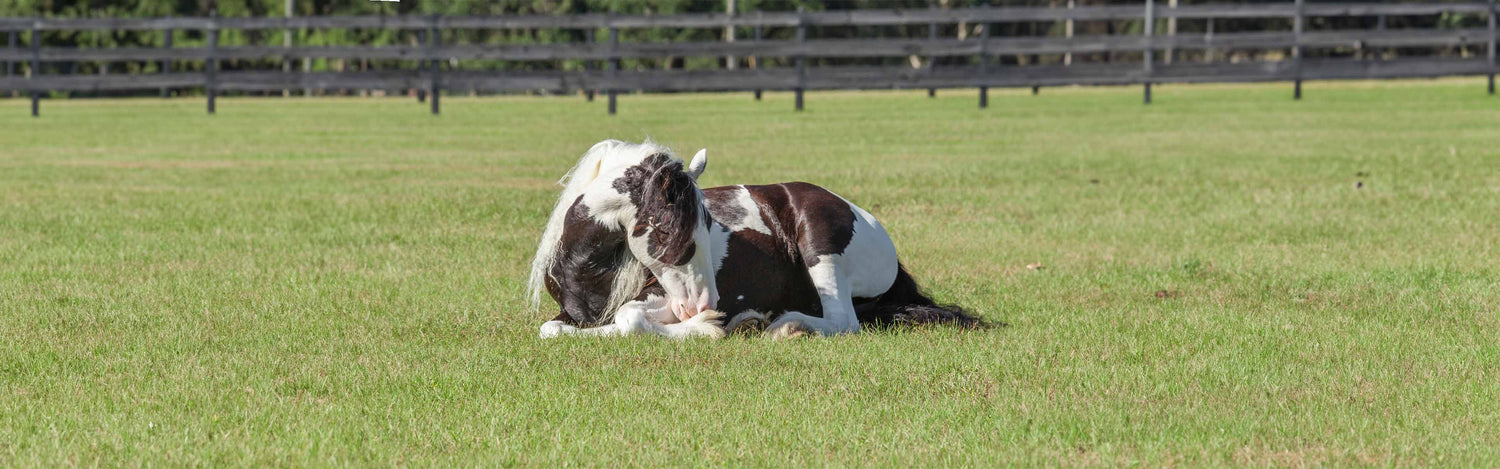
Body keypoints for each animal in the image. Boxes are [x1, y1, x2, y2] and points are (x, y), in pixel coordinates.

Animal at [528, 140, 977, 338]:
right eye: (666, 227)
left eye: (708, 223)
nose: (703, 303)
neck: (589, 272)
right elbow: (554, 330)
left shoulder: (661, 297)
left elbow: (629, 318)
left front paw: (708, 327)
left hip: (820, 246)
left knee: (843, 322)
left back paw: (780, 325)